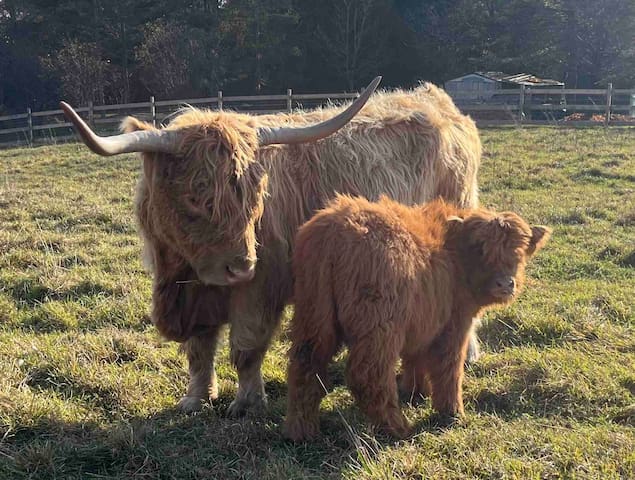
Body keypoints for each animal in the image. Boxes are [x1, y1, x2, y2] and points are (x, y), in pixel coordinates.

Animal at [63, 79, 482, 416]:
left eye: (257, 198)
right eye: (195, 199)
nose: (241, 266)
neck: (185, 272)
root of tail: (434, 99)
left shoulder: (261, 288)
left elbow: (246, 346)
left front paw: (247, 402)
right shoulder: (195, 294)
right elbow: (200, 349)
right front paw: (196, 398)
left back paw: (468, 353)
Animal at [284, 194, 552, 438]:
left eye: (519, 252)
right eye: (480, 248)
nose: (505, 284)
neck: (454, 257)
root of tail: (335, 229)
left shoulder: (423, 321)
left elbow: (415, 358)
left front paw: (415, 392)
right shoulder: (454, 325)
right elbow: (449, 368)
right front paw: (452, 412)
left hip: (314, 316)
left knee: (305, 365)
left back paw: (302, 431)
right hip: (379, 328)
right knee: (369, 375)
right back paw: (397, 428)